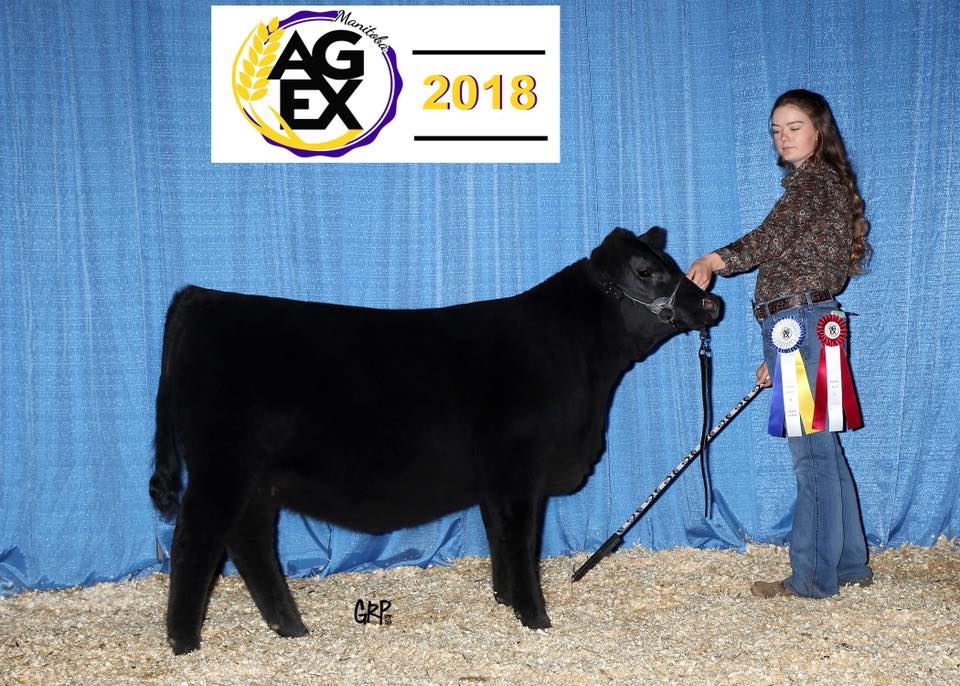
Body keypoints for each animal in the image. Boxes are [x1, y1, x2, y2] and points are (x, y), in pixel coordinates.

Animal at [149, 227, 721, 654]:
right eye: (647, 273)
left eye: (672, 263)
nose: (712, 303)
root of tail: (202, 297)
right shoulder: (519, 471)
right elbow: (521, 541)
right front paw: (535, 618)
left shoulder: (495, 479)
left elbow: (499, 538)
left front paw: (505, 602)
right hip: (221, 467)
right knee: (195, 542)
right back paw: (184, 643)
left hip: (255, 480)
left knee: (248, 543)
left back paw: (290, 628)